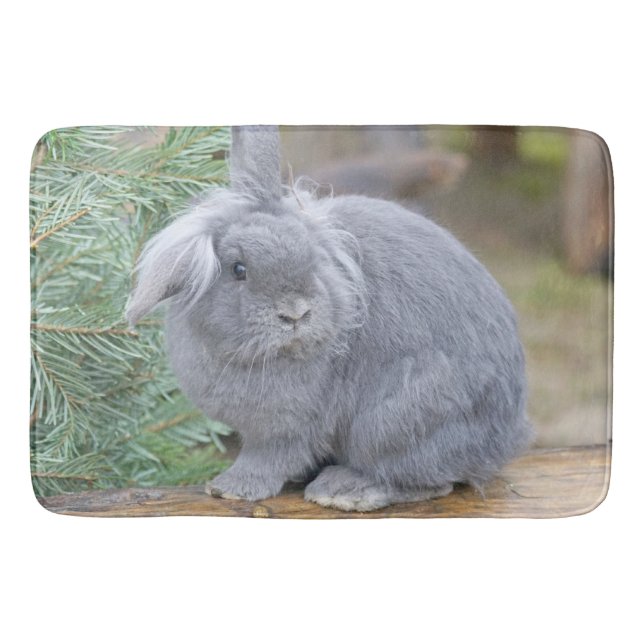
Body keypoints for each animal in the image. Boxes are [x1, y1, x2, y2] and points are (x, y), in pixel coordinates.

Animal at [126, 125, 533, 512]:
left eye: (312, 259)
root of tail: (504, 438)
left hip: (395, 421)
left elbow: (268, 459)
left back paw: (346, 491)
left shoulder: (285, 429)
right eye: (238, 269)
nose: (295, 313)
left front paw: (230, 488)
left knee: (428, 481)